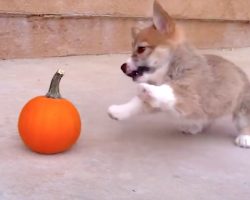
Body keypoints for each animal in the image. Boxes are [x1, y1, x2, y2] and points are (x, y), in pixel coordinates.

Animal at [108, 0, 250, 148]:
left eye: (141, 49)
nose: (122, 67)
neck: (169, 70)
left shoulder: (189, 94)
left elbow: (170, 90)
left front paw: (147, 88)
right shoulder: (161, 103)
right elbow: (138, 104)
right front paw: (118, 111)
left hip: (243, 107)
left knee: (244, 121)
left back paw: (244, 137)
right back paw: (194, 126)